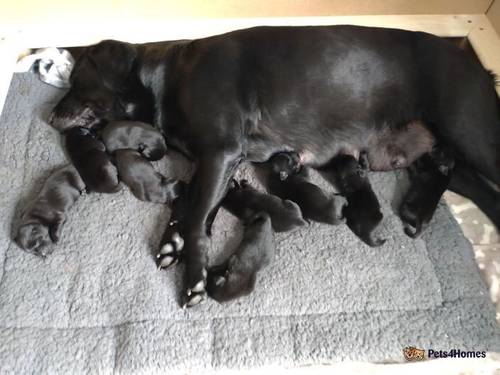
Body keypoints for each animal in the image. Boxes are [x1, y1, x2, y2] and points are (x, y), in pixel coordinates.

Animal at [49, 25, 500, 308]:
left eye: (76, 80)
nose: (50, 116)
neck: (165, 77)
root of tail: (476, 63)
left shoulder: (220, 152)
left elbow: (196, 218)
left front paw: (193, 277)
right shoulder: (213, 162)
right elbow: (188, 205)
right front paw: (172, 242)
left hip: (472, 134)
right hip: (447, 158)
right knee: (486, 193)